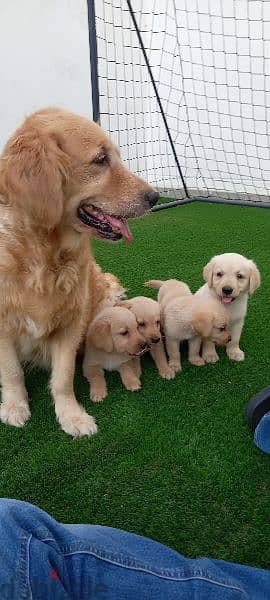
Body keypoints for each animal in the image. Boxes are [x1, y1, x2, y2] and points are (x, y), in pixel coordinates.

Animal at [0, 108, 158, 436]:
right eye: (100, 159)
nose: (155, 197)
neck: (43, 256)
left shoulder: (70, 325)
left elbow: (62, 378)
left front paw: (71, 416)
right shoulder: (3, 325)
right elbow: (11, 372)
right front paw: (14, 407)